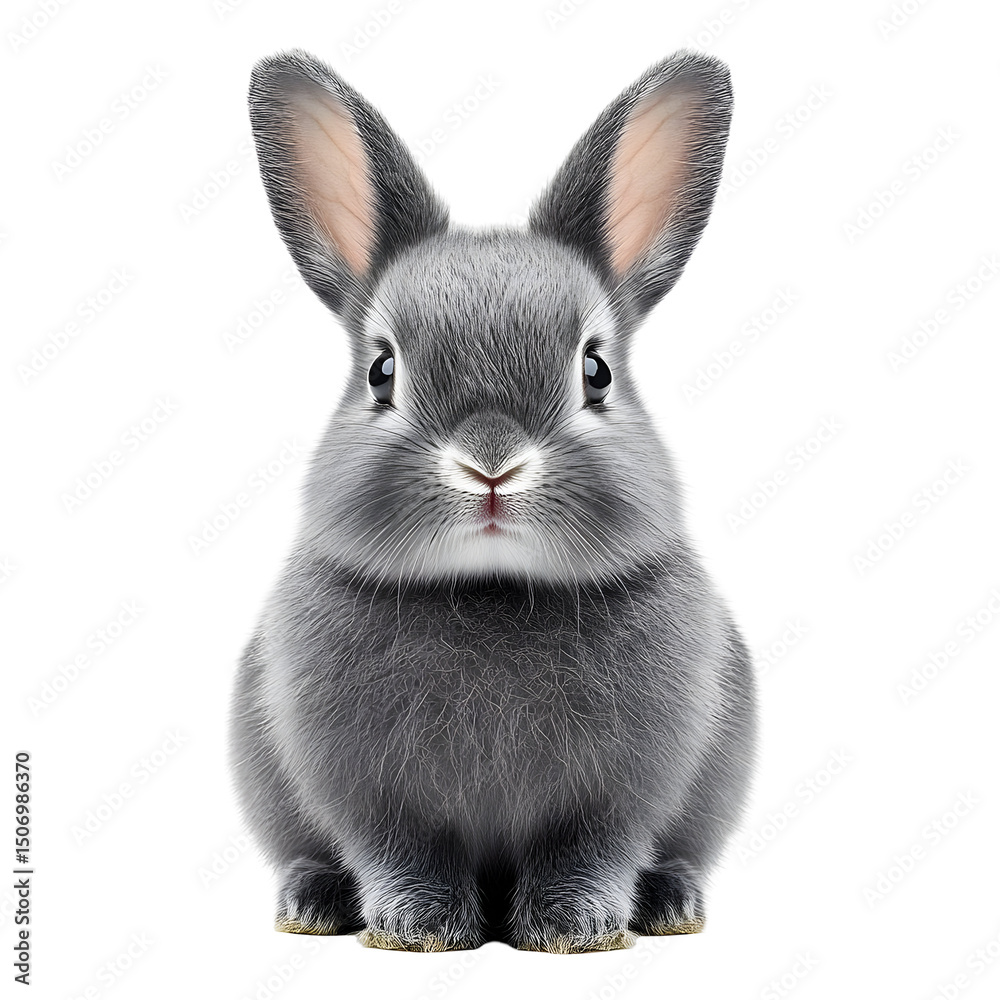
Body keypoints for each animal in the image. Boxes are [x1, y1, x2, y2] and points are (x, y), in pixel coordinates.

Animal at [229, 47, 758, 954]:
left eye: (595, 370)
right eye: (382, 371)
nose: (491, 467)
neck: (492, 589)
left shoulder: (617, 794)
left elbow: (592, 850)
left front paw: (577, 927)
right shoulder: (373, 794)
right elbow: (400, 851)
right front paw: (418, 927)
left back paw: (670, 903)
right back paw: (312, 902)